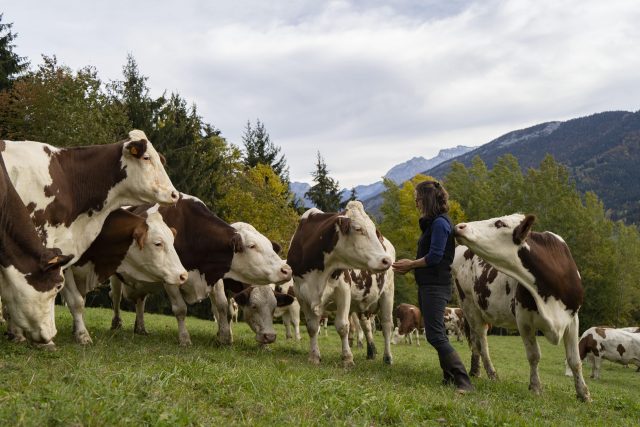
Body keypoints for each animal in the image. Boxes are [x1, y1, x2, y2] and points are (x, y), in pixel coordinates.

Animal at [65, 205, 188, 344]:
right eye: (158, 243)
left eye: (173, 242)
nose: (184, 275)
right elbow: (76, 301)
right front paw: (82, 335)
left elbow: (80, 299)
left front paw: (76, 330)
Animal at [109, 201, 290, 348]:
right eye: (252, 246)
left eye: (274, 308)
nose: (287, 269)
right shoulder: (171, 278)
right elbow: (180, 309)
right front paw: (184, 339)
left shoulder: (215, 278)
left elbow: (223, 307)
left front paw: (225, 338)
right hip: (114, 276)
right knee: (116, 298)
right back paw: (116, 324)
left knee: (141, 301)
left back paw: (140, 328)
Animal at [288, 201, 392, 368]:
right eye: (358, 229)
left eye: (373, 230)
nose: (386, 260)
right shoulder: (301, 294)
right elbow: (312, 327)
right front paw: (314, 356)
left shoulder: (343, 290)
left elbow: (343, 326)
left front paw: (347, 358)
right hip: (362, 304)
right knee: (366, 326)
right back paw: (371, 352)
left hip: (388, 293)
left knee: (387, 325)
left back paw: (387, 358)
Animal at [452, 216, 592, 402]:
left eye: (499, 223)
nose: (460, 226)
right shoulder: (524, 320)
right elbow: (534, 355)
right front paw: (535, 387)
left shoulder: (572, 319)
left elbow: (574, 360)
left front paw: (583, 393)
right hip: (469, 306)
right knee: (482, 343)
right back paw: (492, 374)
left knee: (475, 342)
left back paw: (475, 371)